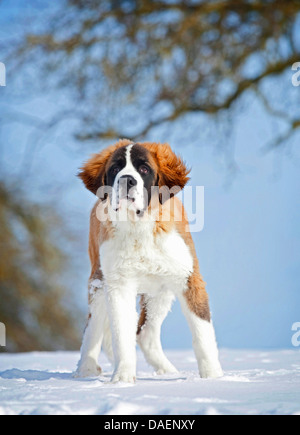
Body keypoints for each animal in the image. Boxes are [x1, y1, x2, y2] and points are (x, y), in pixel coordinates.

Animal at [75, 141, 223, 384]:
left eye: (144, 169)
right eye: (115, 169)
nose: (127, 180)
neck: (139, 228)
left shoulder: (189, 278)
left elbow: (202, 332)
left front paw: (213, 377)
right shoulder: (118, 286)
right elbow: (121, 334)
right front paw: (122, 379)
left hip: (160, 292)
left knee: (144, 332)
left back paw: (169, 372)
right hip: (98, 280)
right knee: (93, 325)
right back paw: (85, 368)